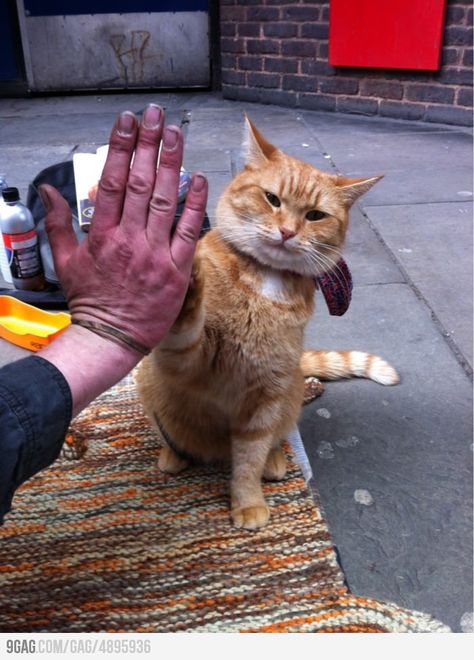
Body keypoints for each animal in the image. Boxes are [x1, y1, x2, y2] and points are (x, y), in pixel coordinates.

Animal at [135, 117, 398, 532]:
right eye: (272, 199)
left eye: (315, 216)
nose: (288, 231)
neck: (265, 282)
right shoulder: (187, 360)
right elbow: (186, 327)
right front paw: (185, 280)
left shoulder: (265, 396)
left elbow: (251, 456)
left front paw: (248, 502)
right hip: (148, 384)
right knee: (169, 435)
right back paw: (172, 456)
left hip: (288, 393)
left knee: (277, 438)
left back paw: (275, 463)